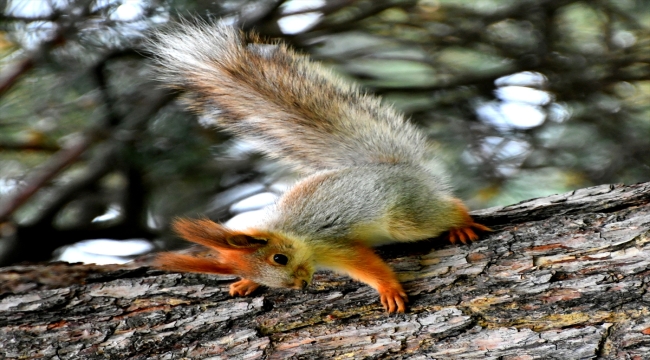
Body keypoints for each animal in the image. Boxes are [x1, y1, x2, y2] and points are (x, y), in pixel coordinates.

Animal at [147, 20, 488, 312]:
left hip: (405, 217)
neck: (290, 231)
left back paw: (461, 224)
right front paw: (245, 283)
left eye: (280, 258)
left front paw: (388, 288)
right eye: (262, 272)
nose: (300, 285)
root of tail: (397, 167)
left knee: (446, 208)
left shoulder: (334, 245)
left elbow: (368, 266)